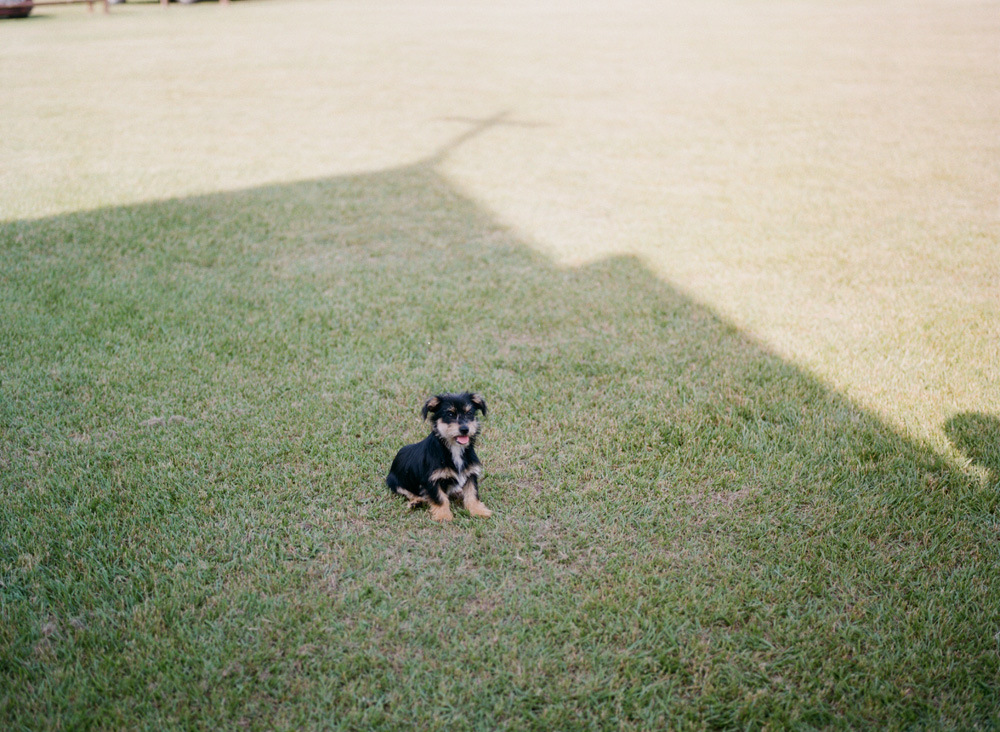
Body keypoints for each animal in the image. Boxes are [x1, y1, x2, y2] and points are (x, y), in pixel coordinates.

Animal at [384, 392, 490, 524]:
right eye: (450, 414)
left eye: (469, 413)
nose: (465, 429)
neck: (453, 448)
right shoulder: (432, 479)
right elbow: (440, 498)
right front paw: (443, 516)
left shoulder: (470, 473)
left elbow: (472, 494)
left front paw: (478, 511)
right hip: (394, 482)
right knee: (410, 493)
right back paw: (417, 502)